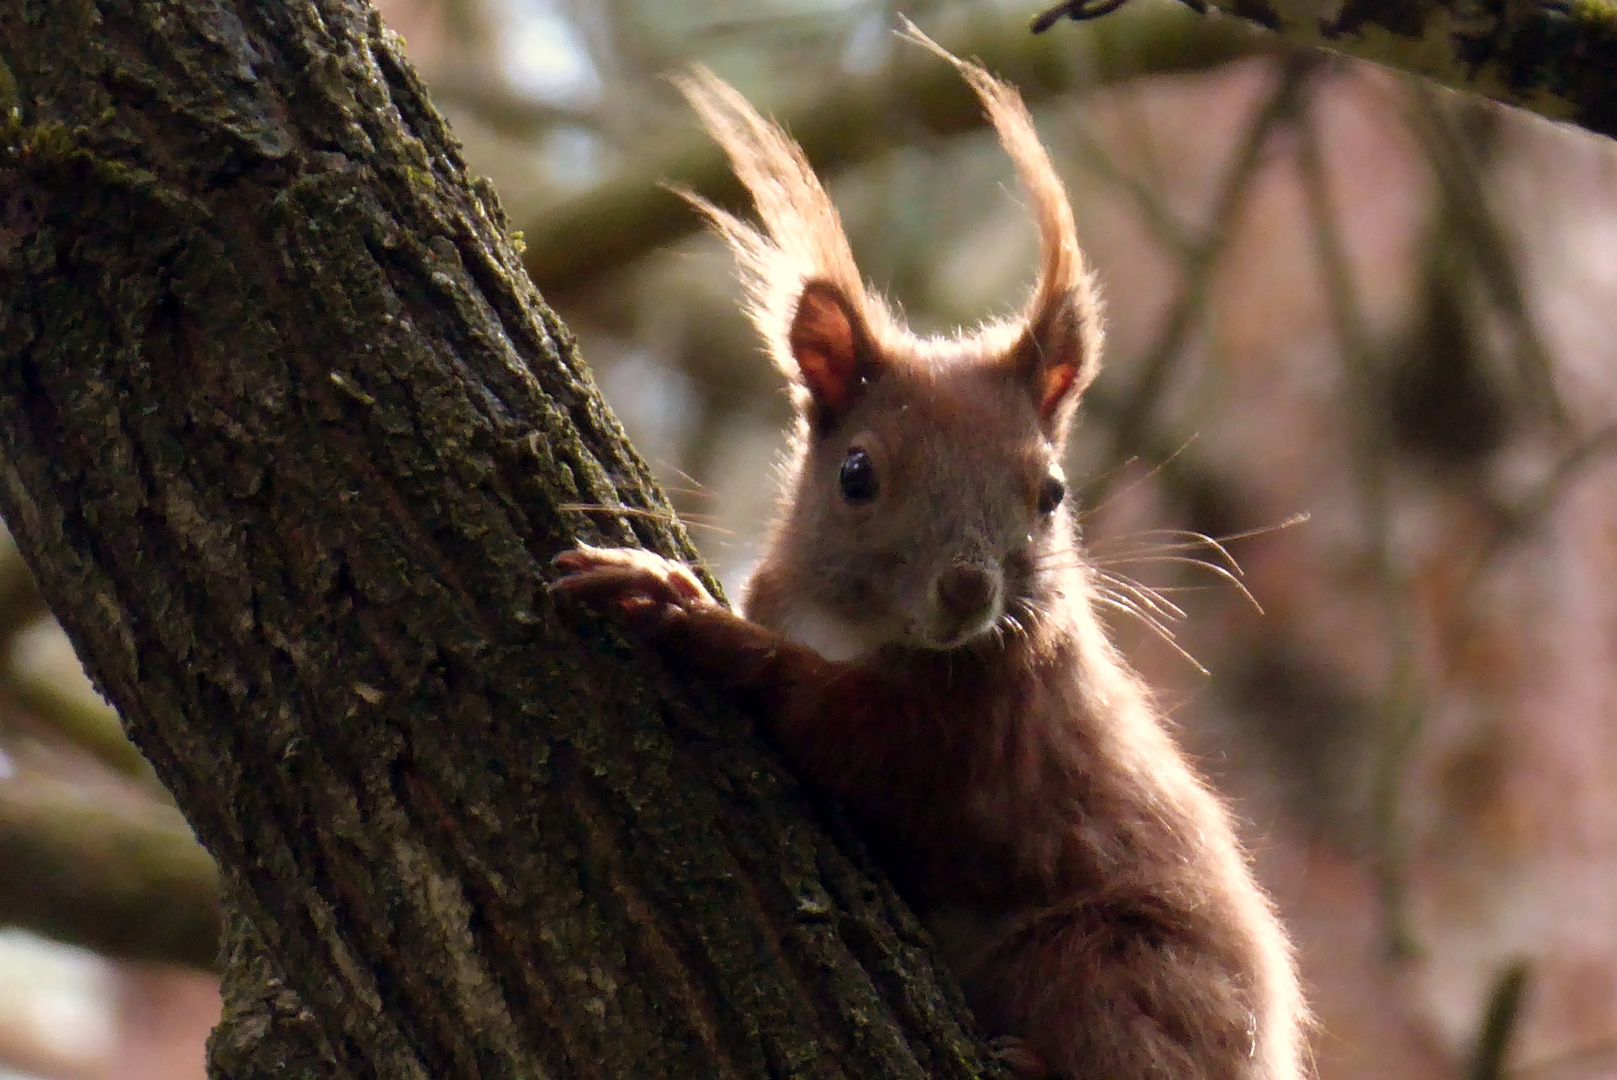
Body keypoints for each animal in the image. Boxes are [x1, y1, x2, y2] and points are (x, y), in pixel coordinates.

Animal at [549, 31, 1306, 1080]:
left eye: (1051, 491)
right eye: (856, 473)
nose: (967, 589)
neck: (854, 622)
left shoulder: (978, 725)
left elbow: (839, 728)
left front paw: (678, 609)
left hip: (1109, 963)